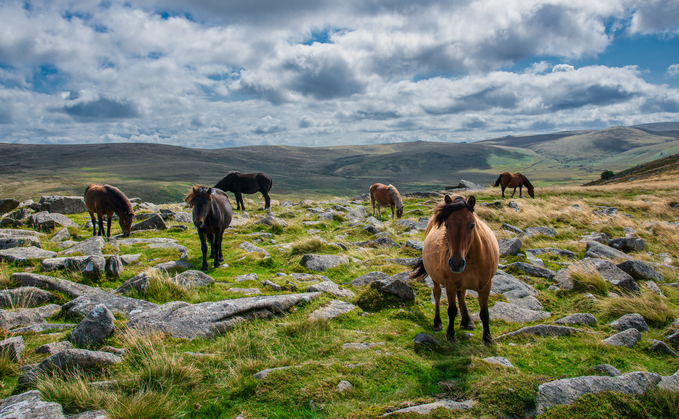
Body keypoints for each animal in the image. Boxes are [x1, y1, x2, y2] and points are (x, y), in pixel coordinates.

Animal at [410, 194, 499, 345]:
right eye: (447, 224)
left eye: (472, 225)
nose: (456, 264)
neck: (472, 259)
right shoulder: (450, 284)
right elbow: (451, 310)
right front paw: (450, 335)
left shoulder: (486, 285)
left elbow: (484, 313)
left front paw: (487, 338)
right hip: (436, 278)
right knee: (437, 294)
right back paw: (437, 323)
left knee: (461, 294)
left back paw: (467, 321)